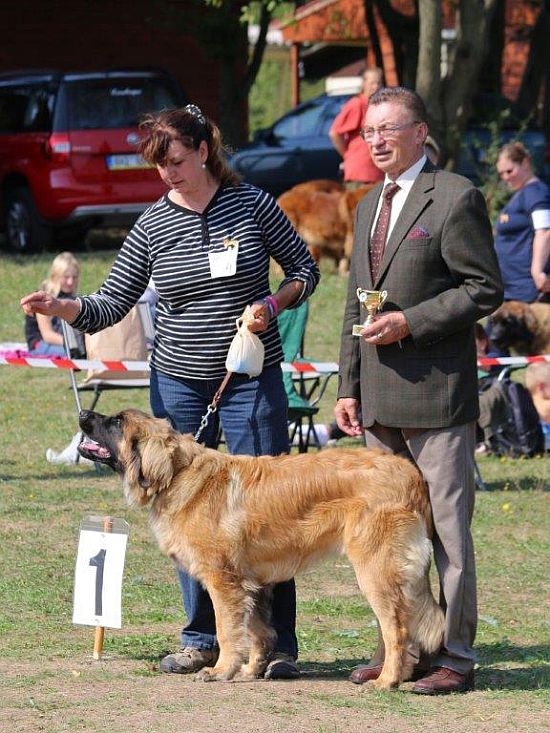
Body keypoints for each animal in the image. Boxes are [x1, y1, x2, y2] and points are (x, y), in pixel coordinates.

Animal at [77, 406, 446, 688]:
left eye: (116, 422)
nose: (83, 414)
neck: (178, 475)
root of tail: (410, 473)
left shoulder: (224, 582)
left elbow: (228, 631)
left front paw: (220, 671)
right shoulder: (249, 582)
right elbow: (258, 632)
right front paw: (250, 671)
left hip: (374, 570)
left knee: (397, 629)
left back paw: (387, 680)